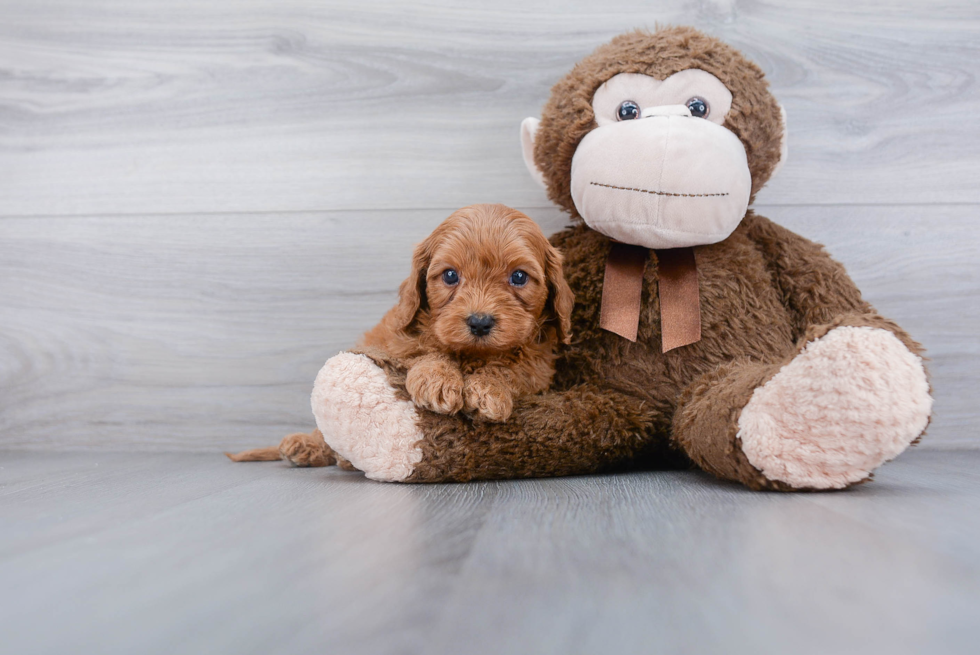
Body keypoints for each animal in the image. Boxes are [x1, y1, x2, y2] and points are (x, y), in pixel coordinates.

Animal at [229, 205, 576, 466]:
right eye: (450, 275)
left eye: (518, 277)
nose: (479, 322)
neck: (472, 354)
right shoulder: (394, 344)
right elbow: (425, 351)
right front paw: (438, 379)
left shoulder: (538, 369)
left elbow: (511, 368)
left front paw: (488, 388)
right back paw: (308, 445)